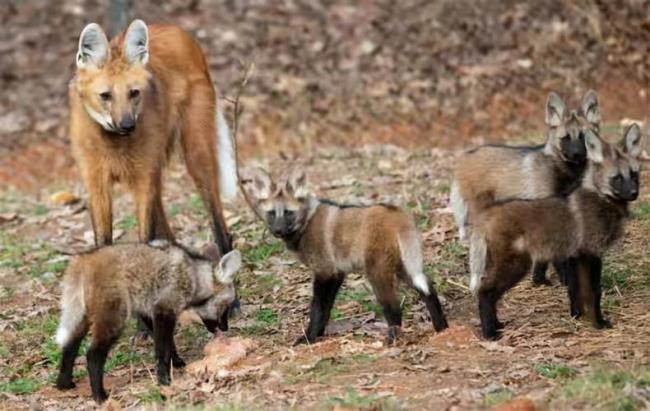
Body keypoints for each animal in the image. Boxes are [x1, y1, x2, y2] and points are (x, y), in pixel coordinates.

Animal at [69, 20, 235, 256]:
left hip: (194, 151)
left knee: (214, 210)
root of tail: (176, 29)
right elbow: (103, 240)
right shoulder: (97, 180)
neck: (113, 142)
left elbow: (144, 234)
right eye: (105, 96)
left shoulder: (142, 175)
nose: (128, 125)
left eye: (134, 93)